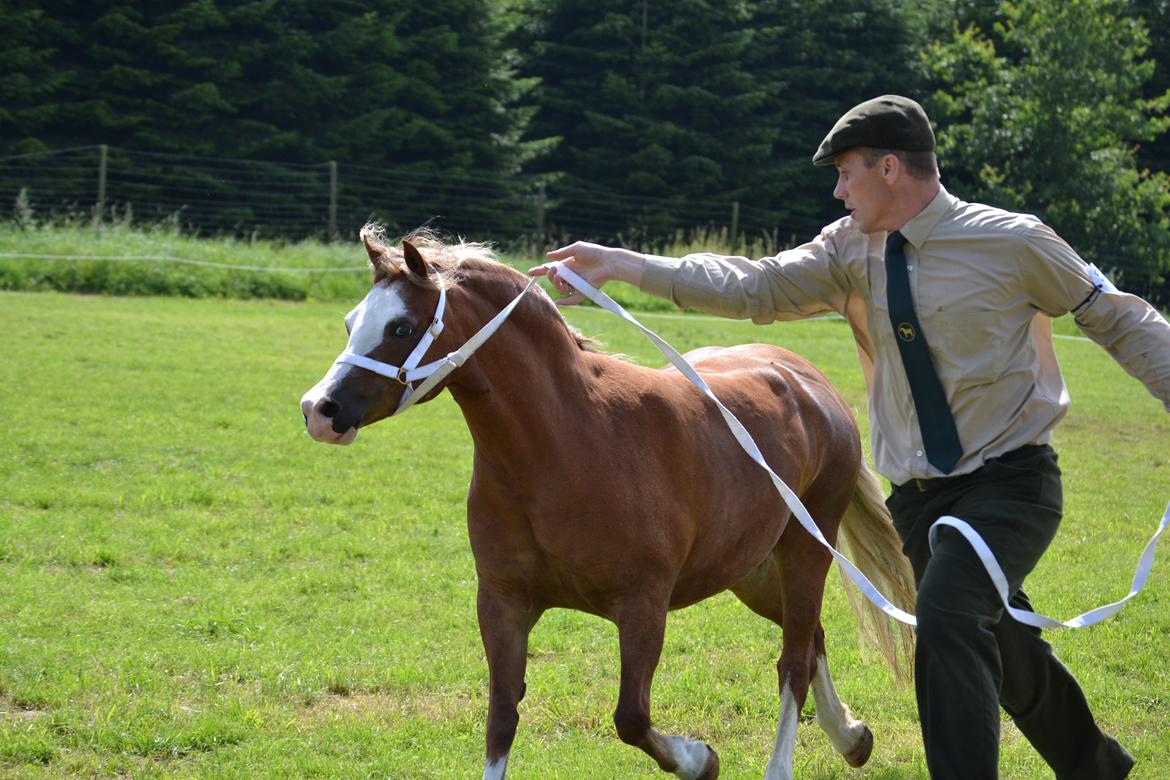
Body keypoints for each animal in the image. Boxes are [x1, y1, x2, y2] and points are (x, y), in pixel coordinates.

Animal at [299, 226, 912, 780]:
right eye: (352, 322)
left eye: (400, 326)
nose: (318, 410)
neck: (568, 443)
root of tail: (806, 380)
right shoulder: (502, 603)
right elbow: (501, 720)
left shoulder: (643, 605)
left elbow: (631, 717)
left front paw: (701, 758)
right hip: (751, 569)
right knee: (811, 639)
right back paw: (852, 737)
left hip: (805, 552)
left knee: (794, 660)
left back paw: (786, 764)